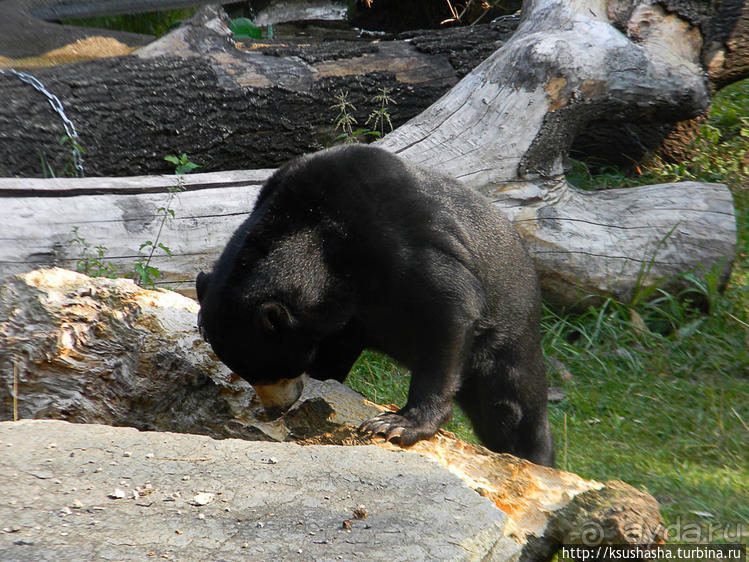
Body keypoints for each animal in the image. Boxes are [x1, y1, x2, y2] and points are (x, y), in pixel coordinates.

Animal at [196, 143, 552, 464]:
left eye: (275, 370)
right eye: (249, 373)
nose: (275, 409)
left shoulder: (400, 239)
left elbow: (452, 305)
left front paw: (396, 425)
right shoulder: (342, 315)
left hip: (508, 334)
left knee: (511, 407)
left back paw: (533, 456)